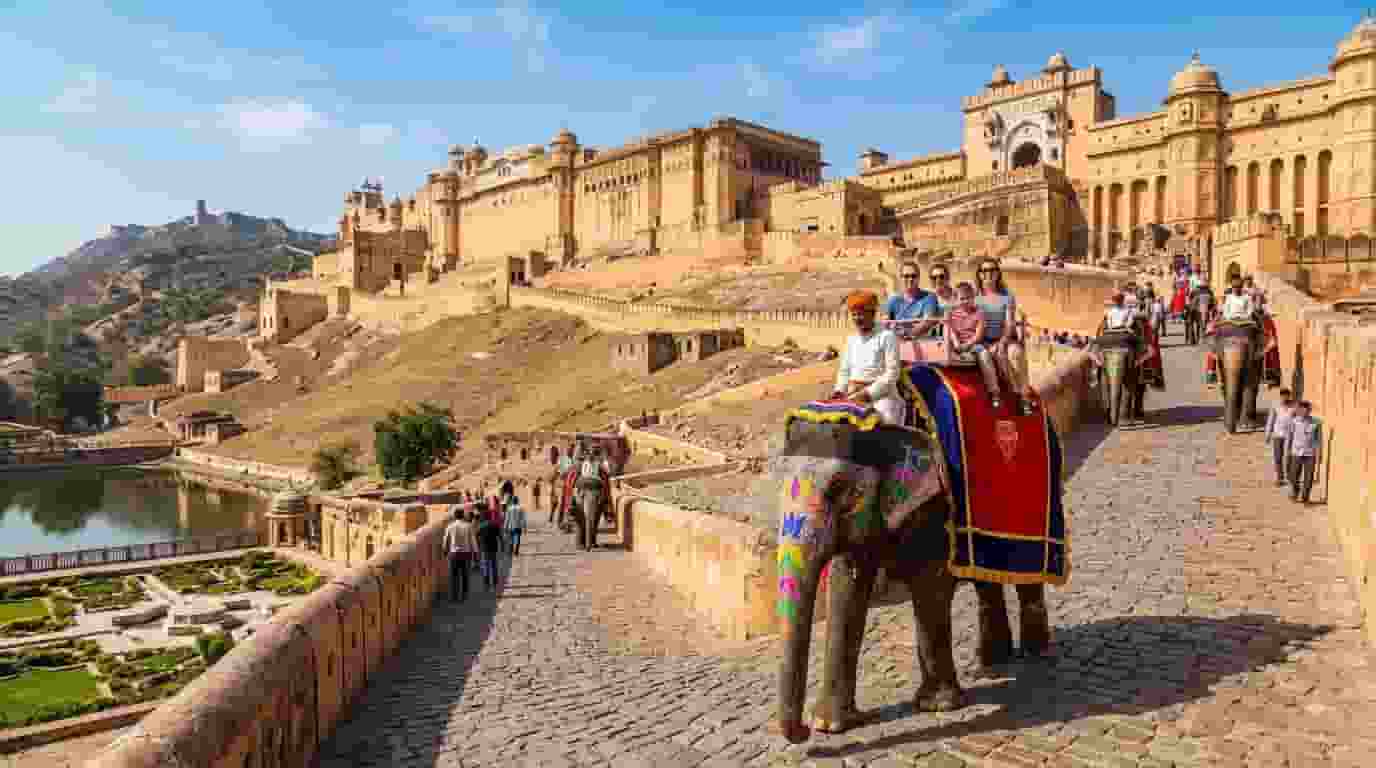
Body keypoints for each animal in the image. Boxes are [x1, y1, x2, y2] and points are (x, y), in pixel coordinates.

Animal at [773, 418, 1051, 744]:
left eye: (841, 490)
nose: (803, 733)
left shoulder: (935, 509)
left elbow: (930, 589)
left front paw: (937, 706)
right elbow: (845, 593)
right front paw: (829, 726)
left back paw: (1034, 653)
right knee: (986, 582)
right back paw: (991, 662)